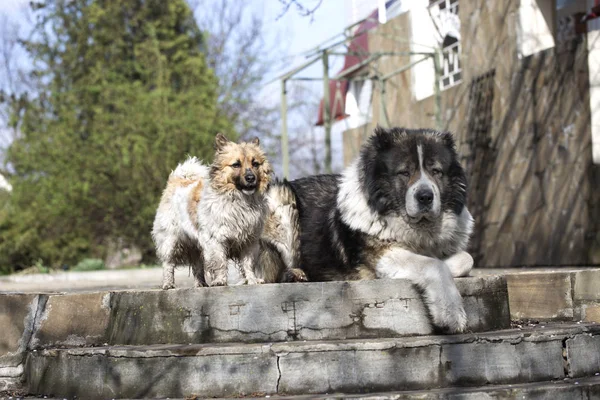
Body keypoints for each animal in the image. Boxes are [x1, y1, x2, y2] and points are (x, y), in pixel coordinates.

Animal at [152, 134, 272, 288]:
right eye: (236, 164)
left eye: (255, 164)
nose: (251, 178)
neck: (238, 200)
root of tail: (177, 180)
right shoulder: (215, 239)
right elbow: (219, 262)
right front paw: (220, 280)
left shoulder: (249, 241)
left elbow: (248, 264)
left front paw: (252, 280)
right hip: (170, 240)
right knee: (168, 263)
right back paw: (168, 284)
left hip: (196, 246)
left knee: (197, 265)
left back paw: (201, 284)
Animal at [266, 126, 474, 332]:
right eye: (404, 172)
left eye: (436, 171)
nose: (425, 197)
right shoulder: (382, 255)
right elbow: (433, 265)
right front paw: (451, 313)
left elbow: (466, 258)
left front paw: (449, 263)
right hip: (280, 196)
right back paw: (294, 275)